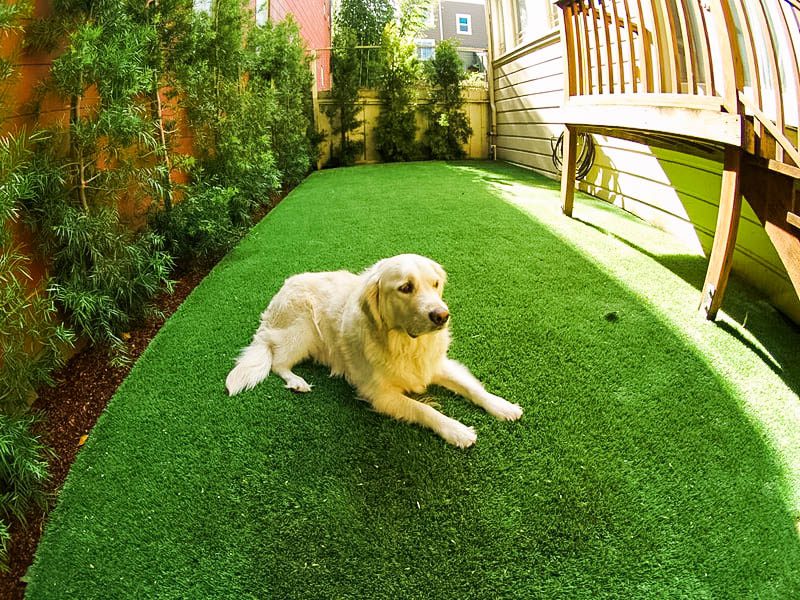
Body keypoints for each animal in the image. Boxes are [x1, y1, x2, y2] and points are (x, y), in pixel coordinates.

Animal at [227, 253, 524, 446]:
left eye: (435, 284)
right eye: (406, 287)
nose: (442, 316)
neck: (406, 345)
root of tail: (278, 293)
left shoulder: (437, 365)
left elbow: (473, 388)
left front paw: (503, 406)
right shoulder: (380, 395)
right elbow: (425, 410)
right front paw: (457, 430)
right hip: (302, 331)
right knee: (277, 362)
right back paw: (297, 381)